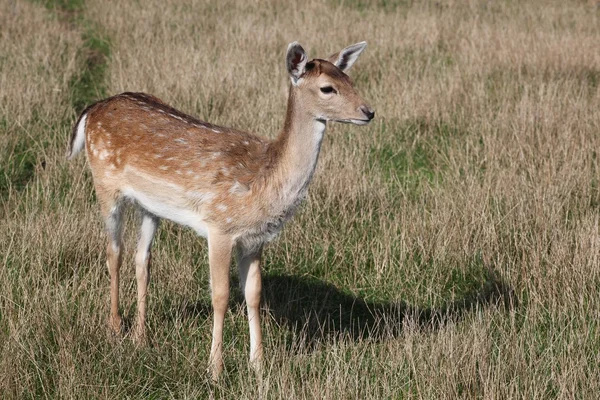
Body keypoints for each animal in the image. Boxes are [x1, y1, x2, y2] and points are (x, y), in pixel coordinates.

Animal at [68, 40, 372, 378]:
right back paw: (114, 328)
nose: (369, 111)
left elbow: (254, 294)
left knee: (142, 258)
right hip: (103, 181)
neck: (263, 182)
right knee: (114, 252)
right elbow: (221, 295)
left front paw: (259, 365)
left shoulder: (255, 239)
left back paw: (141, 338)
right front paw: (215, 369)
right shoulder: (220, 226)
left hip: (150, 206)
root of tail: (92, 110)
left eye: (350, 80)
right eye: (327, 88)